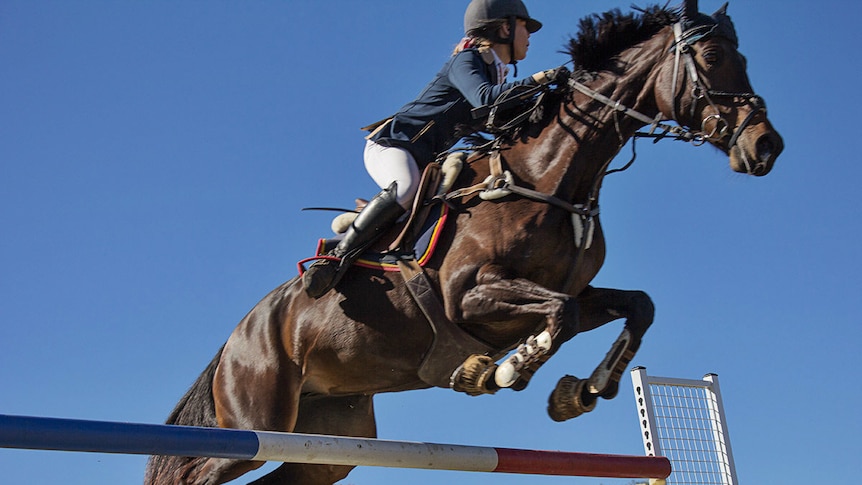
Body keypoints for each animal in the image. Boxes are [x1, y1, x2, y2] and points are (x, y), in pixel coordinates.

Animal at [147, 1, 784, 482]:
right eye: (711, 58)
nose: (766, 146)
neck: (549, 175)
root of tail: (239, 336)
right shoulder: (468, 296)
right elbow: (561, 315)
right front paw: (500, 372)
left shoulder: (580, 290)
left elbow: (633, 306)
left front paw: (581, 391)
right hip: (254, 420)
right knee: (193, 471)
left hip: (326, 440)